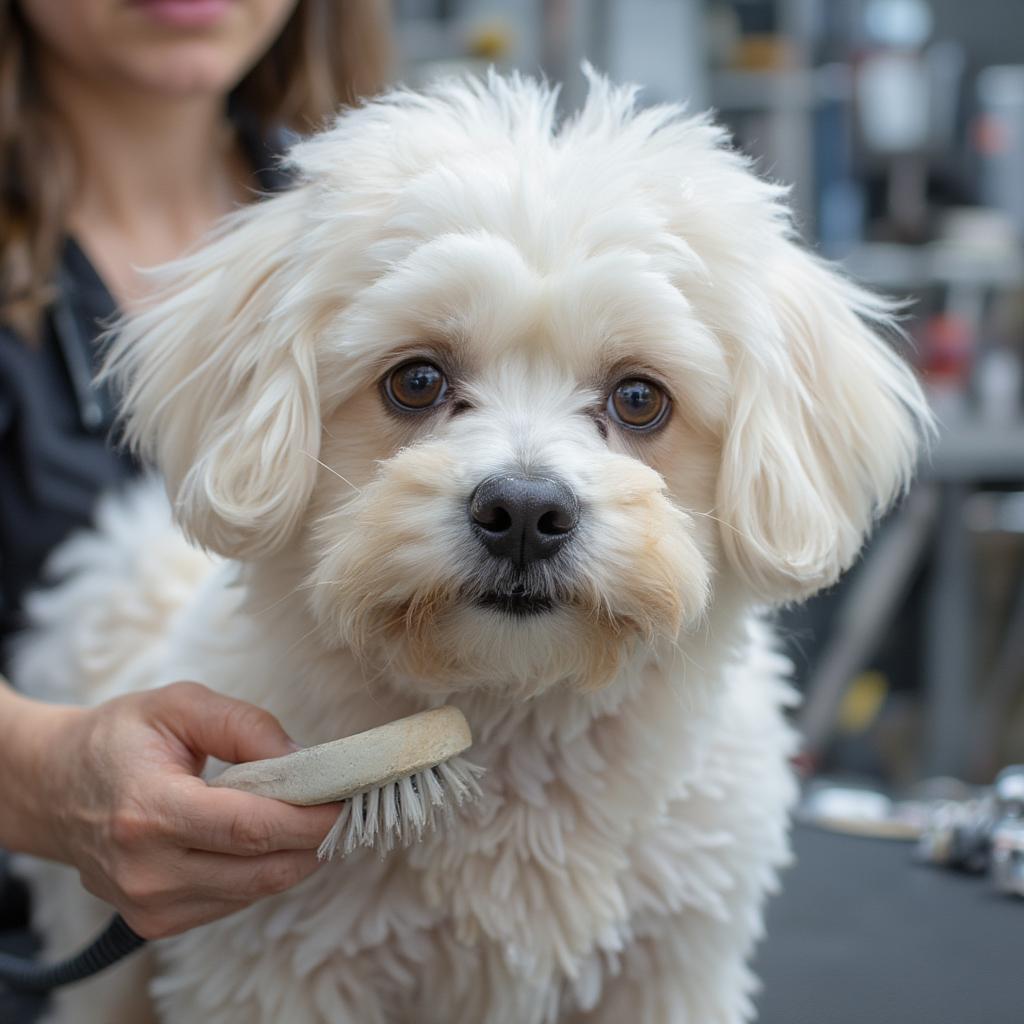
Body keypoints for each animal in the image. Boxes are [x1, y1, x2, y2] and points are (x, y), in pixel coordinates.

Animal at [14, 74, 929, 1024]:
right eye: (417, 381)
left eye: (640, 398)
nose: (524, 510)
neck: (508, 715)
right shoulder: (277, 973)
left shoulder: (670, 968)